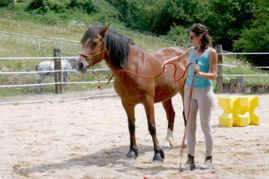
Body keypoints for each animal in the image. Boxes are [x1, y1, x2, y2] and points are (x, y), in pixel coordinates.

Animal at [76, 24, 187, 163]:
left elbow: (152, 127)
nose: (79, 64)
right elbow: (131, 127)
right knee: (171, 115)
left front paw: (157, 154)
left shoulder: (148, 101)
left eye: (94, 42)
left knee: (186, 114)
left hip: (185, 91)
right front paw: (132, 152)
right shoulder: (127, 103)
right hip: (166, 95)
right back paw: (167, 143)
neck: (133, 67)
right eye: (82, 42)